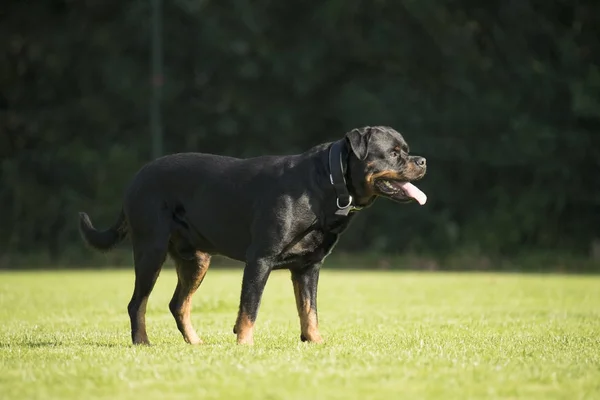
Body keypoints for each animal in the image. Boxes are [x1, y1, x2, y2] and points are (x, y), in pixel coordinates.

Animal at [79, 126, 426, 346]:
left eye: (406, 151)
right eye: (394, 153)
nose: (422, 160)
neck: (328, 183)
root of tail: (136, 178)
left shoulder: (308, 267)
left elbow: (309, 310)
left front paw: (315, 342)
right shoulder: (260, 259)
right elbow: (250, 306)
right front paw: (245, 344)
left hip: (197, 259)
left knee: (178, 304)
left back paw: (195, 343)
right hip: (150, 250)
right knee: (137, 303)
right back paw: (142, 342)